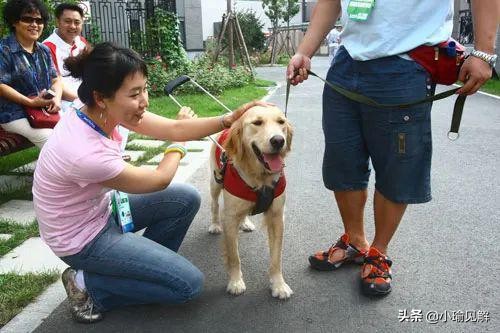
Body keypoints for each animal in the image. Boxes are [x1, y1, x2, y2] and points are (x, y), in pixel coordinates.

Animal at [208, 104, 292, 298]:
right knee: (214, 204)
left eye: (281, 122)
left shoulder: (277, 217)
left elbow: (276, 257)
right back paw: (214, 225)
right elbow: (234, 256)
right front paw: (235, 282)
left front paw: (278, 284)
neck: (260, 177)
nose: (278, 141)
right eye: (257, 123)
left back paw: (245, 223)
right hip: (215, 182)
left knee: (244, 212)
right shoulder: (230, 218)